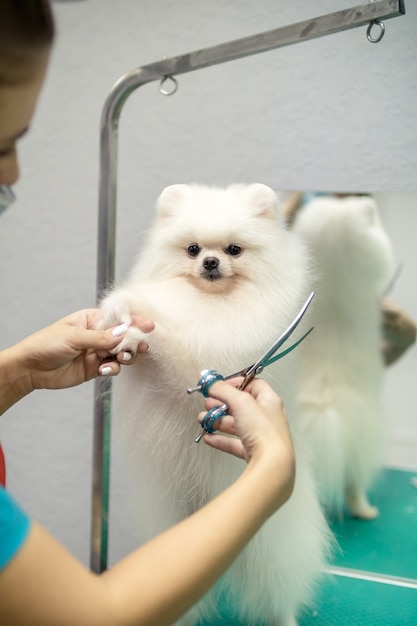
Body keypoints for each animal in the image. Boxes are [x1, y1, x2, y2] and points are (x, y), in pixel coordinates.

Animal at [98, 182, 332, 624]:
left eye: (233, 250)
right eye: (192, 249)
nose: (209, 261)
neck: (211, 304)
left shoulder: (218, 357)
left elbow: (178, 348)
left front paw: (144, 330)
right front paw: (122, 315)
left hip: (269, 538)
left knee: (278, 591)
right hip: (172, 526)